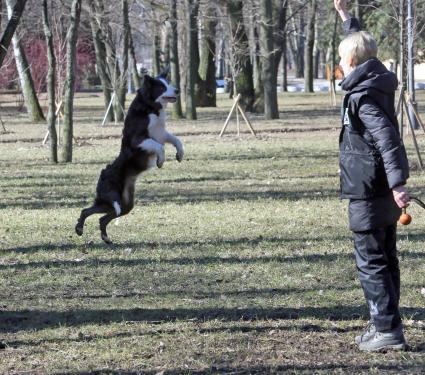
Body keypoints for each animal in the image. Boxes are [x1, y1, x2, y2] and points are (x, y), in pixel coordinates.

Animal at [75, 74, 183, 244]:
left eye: (168, 83)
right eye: (162, 87)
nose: (178, 90)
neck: (149, 106)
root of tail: (101, 176)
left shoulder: (161, 133)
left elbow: (177, 140)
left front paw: (180, 154)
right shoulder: (139, 139)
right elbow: (160, 147)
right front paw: (160, 161)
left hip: (124, 204)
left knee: (96, 215)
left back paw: (103, 237)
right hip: (114, 200)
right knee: (89, 212)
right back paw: (81, 229)